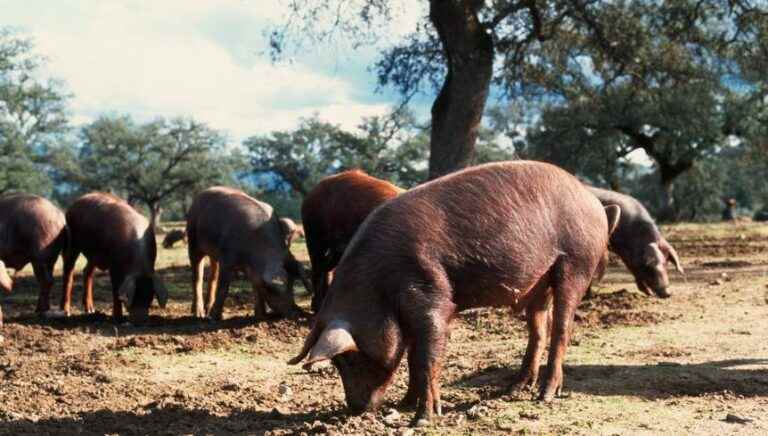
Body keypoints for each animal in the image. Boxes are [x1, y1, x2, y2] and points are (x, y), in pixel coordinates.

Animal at [0, 193, 69, 324]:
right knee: (48, 279)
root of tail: (60, 216)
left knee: (46, 280)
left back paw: (40, 312)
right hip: (50, 258)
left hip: (40, 254)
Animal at [60, 192, 168, 322]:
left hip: (94, 254)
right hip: (72, 241)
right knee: (68, 272)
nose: (140, 320)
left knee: (87, 272)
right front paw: (118, 319)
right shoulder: (114, 265)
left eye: (149, 296)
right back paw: (66, 312)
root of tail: (75, 203)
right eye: (133, 297)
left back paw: (91, 311)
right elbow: (116, 290)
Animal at [184, 187, 308, 320]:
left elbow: (256, 286)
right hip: (193, 241)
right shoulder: (227, 259)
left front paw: (261, 316)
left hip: (213, 254)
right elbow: (223, 288)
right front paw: (215, 318)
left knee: (213, 276)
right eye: (274, 291)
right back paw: (199, 314)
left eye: (292, 285)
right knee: (197, 277)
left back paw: (206, 309)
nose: (299, 314)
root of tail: (203, 192)